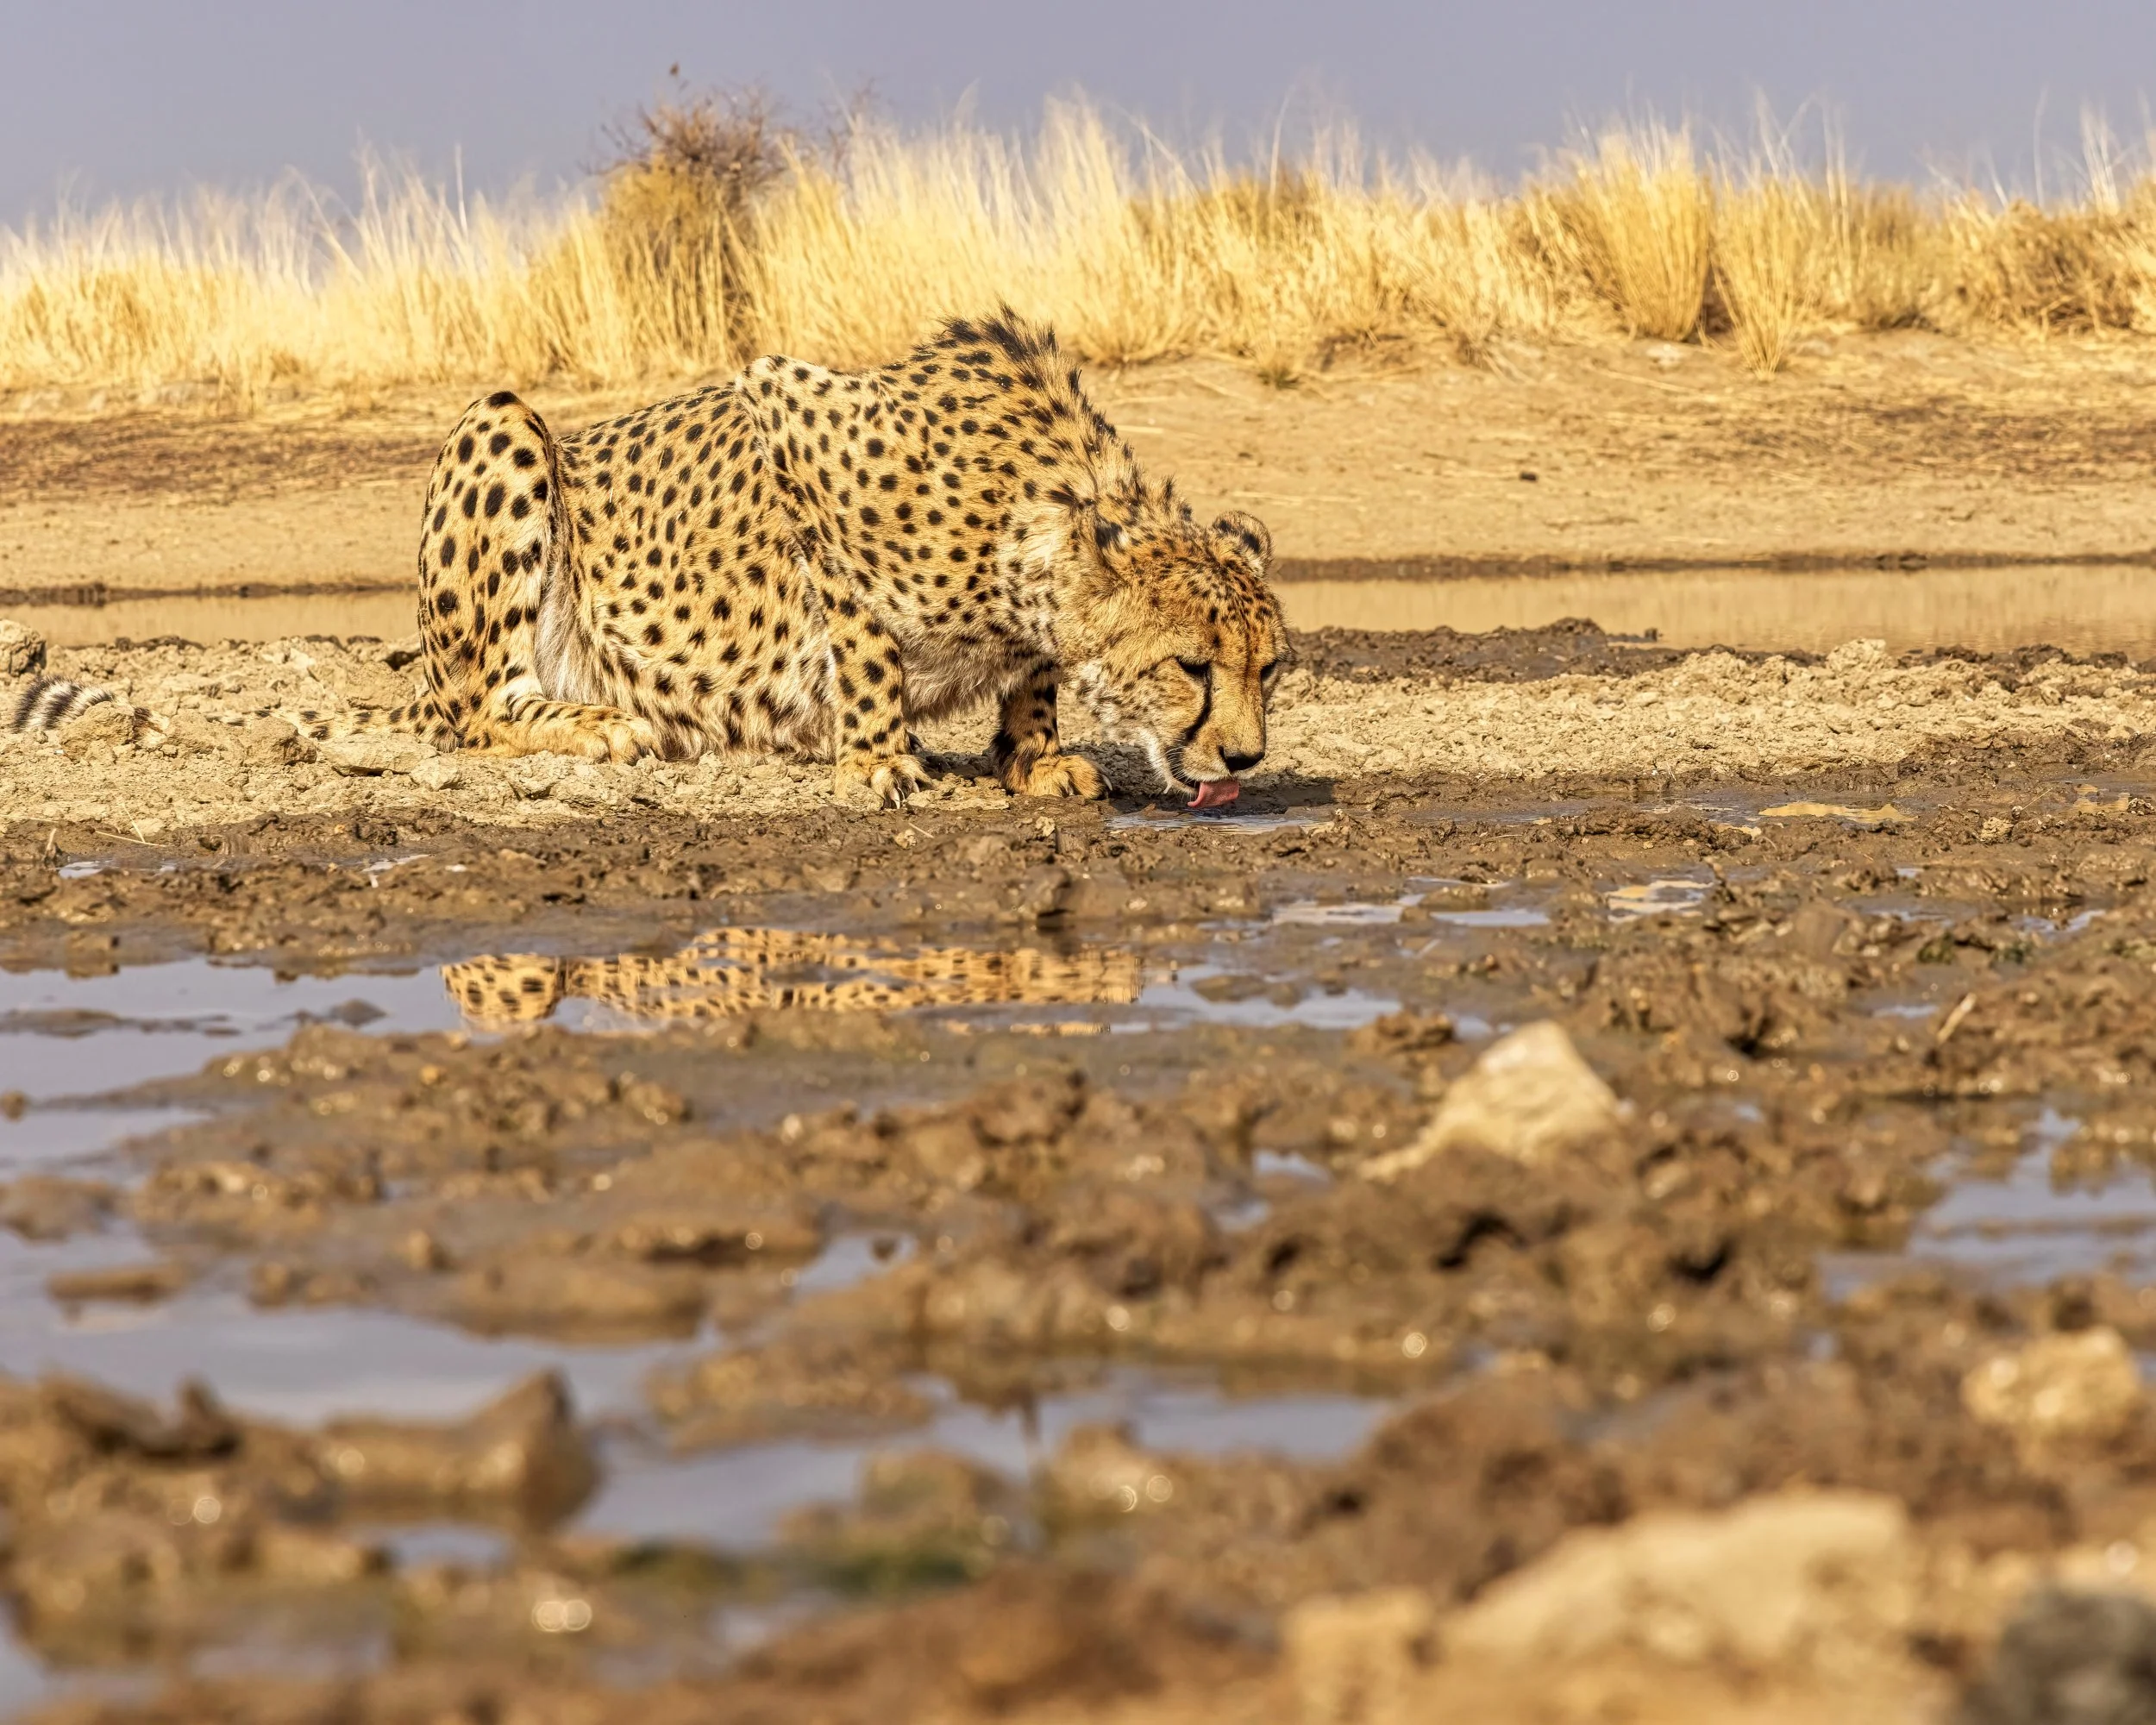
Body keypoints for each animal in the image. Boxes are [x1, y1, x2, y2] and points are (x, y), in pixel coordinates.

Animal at [304, 307, 1288, 808]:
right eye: (1191, 666)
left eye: (1269, 669)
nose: (1245, 760)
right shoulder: (786, 408)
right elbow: (864, 639)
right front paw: (877, 759)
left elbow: (1033, 677)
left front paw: (1034, 757)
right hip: (503, 421)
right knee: (479, 709)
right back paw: (601, 725)